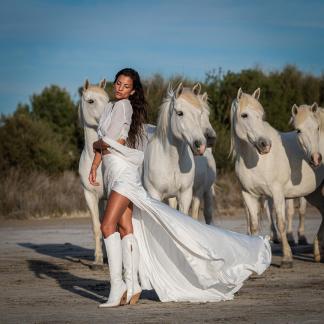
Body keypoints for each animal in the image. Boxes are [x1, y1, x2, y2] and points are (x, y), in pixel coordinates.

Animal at [230, 88, 324, 266]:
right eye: (244, 115)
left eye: (261, 115)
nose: (265, 145)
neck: (256, 161)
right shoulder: (248, 194)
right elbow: (254, 225)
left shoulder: (277, 193)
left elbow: (281, 223)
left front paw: (287, 258)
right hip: (314, 193)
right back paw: (317, 254)